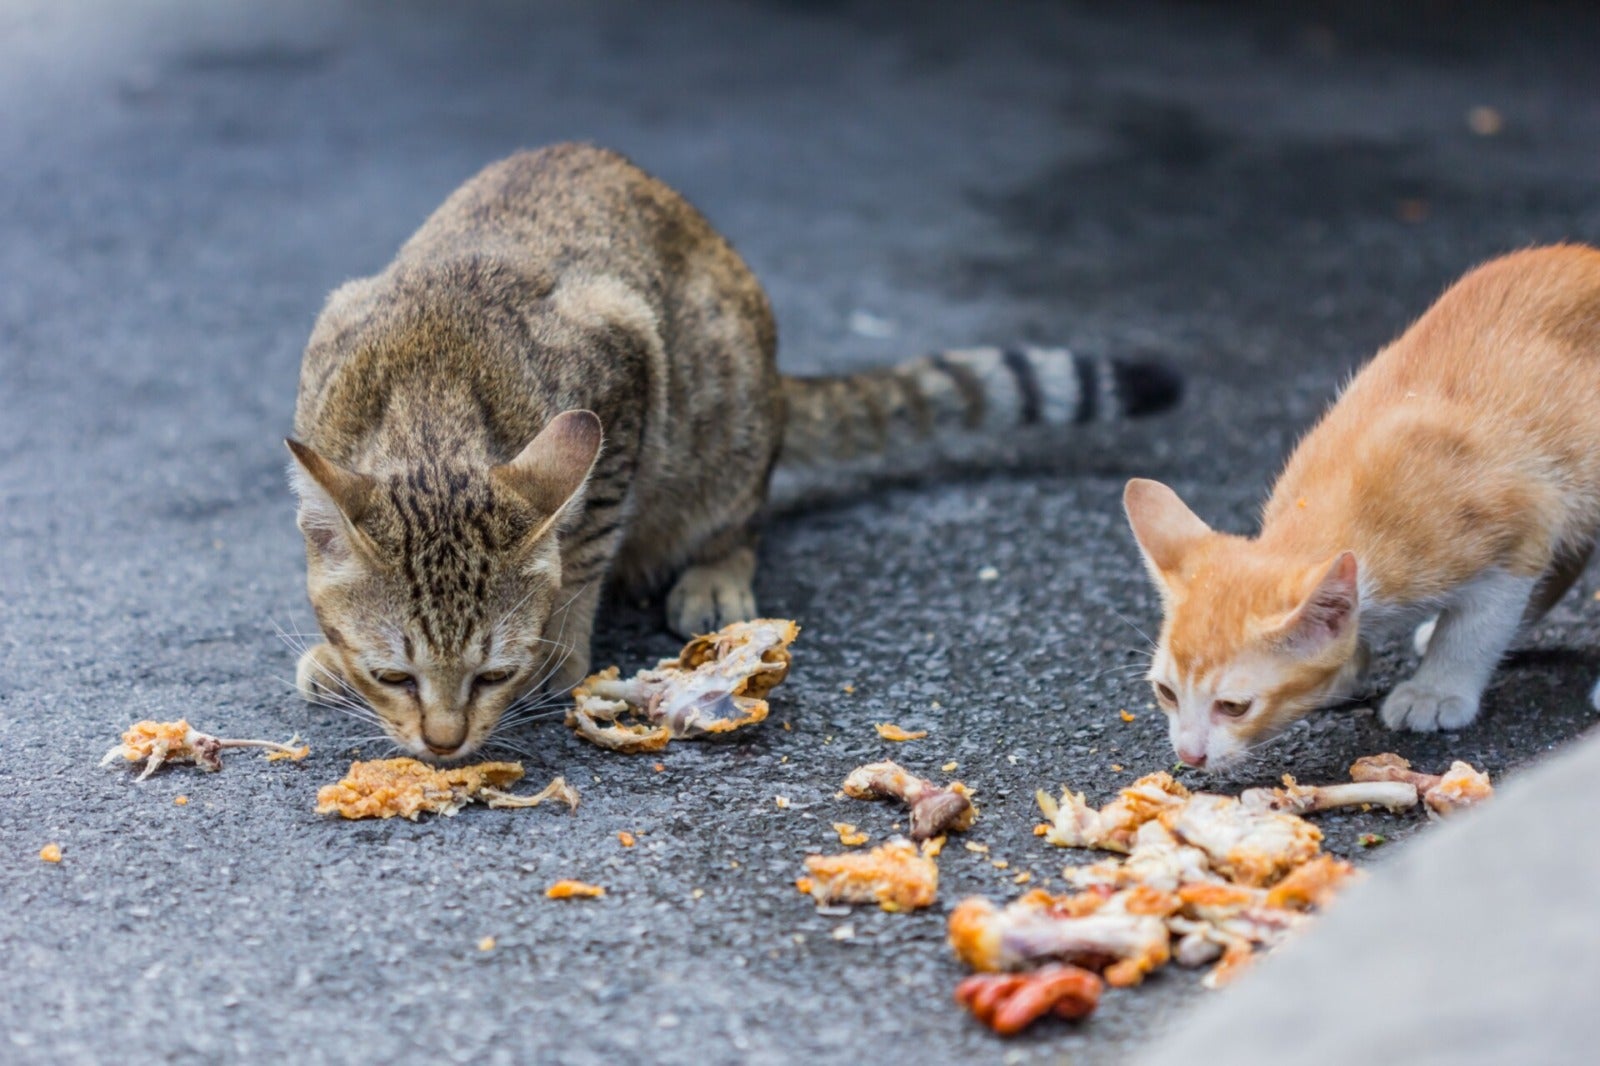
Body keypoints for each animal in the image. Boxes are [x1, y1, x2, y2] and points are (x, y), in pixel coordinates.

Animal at [1126, 244, 1600, 768]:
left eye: (1233, 706)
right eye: (1166, 692)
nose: (1188, 755)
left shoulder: (1520, 525)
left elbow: (1476, 628)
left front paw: (1438, 688)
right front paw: (1349, 668)